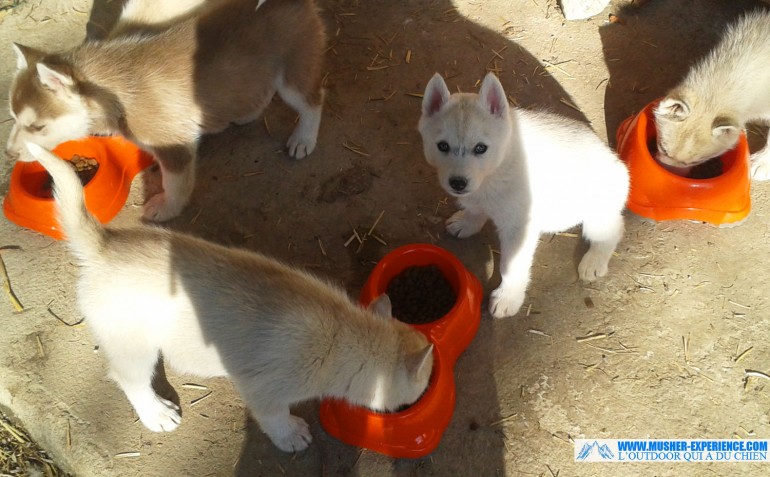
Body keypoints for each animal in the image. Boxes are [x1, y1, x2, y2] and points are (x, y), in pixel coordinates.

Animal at [6, 0, 324, 221]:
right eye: (13, 118)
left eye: (37, 127)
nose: (8, 153)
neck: (115, 90)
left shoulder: (174, 146)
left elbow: (175, 184)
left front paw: (165, 209)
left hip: (295, 71)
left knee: (313, 100)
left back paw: (303, 139)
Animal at [25, 140, 432, 450]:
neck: (343, 335)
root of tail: (103, 245)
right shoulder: (265, 391)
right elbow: (275, 418)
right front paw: (292, 436)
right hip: (132, 347)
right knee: (129, 379)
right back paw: (157, 414)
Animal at [416, 72, 628, 318]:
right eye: (442, 146)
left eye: (480, 148)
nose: (458, 183)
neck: (498, 166)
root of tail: (617, 162)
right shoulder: (479, 197)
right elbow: (476, 209)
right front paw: (467, 223)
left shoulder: (518, 229)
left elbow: (511, 266)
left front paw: (508, 297)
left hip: (596, 214)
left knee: (614, 229)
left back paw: (594, 261)